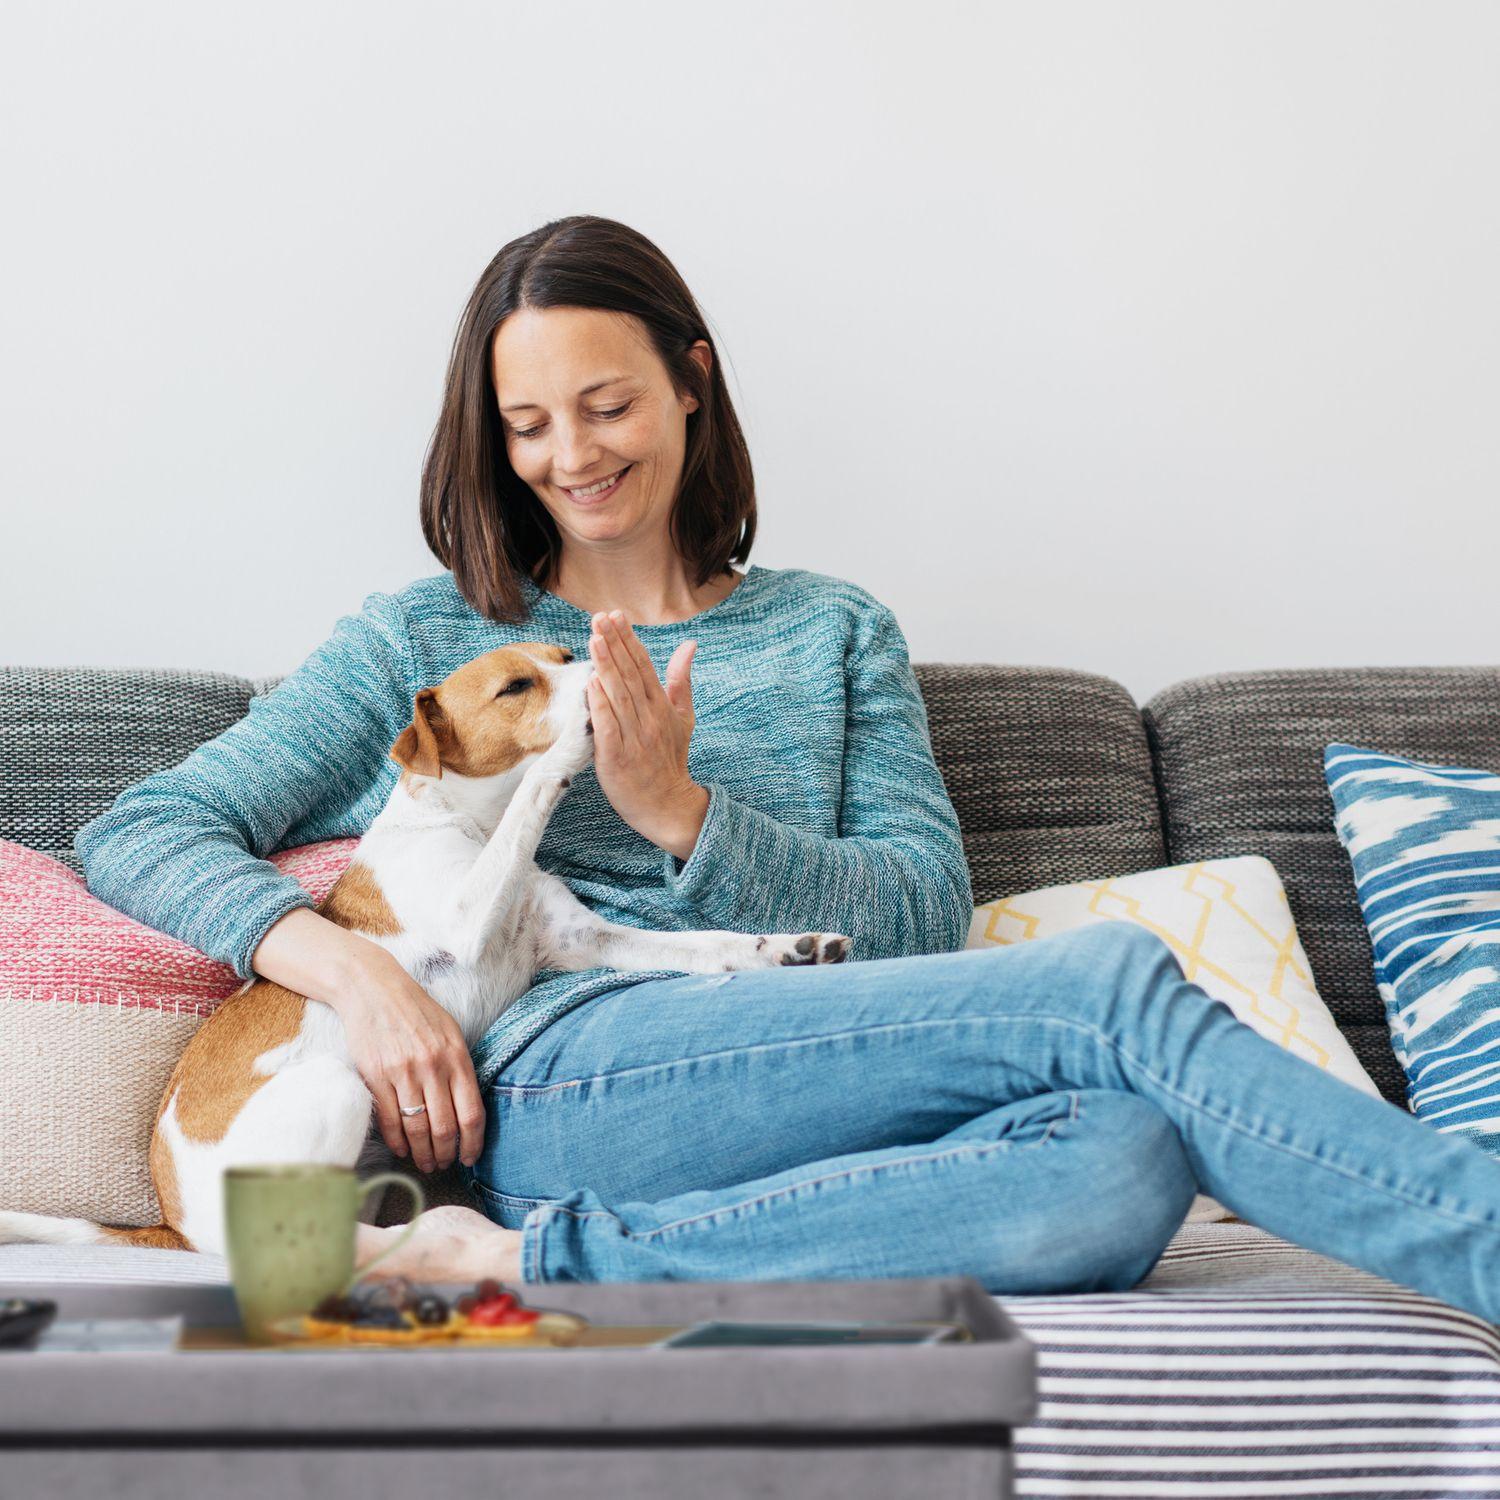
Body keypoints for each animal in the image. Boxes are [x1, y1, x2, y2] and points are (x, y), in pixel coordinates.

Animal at [0, 642, 846, 1254]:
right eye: (515, 686)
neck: (463, 824)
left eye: (565, 653)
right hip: (338, 1089)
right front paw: (568, 748)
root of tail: (172, 1223)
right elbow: (536, 791)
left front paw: (795, 949)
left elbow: (714, 944)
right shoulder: (468, 915)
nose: (605, 668)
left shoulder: (583, 940)